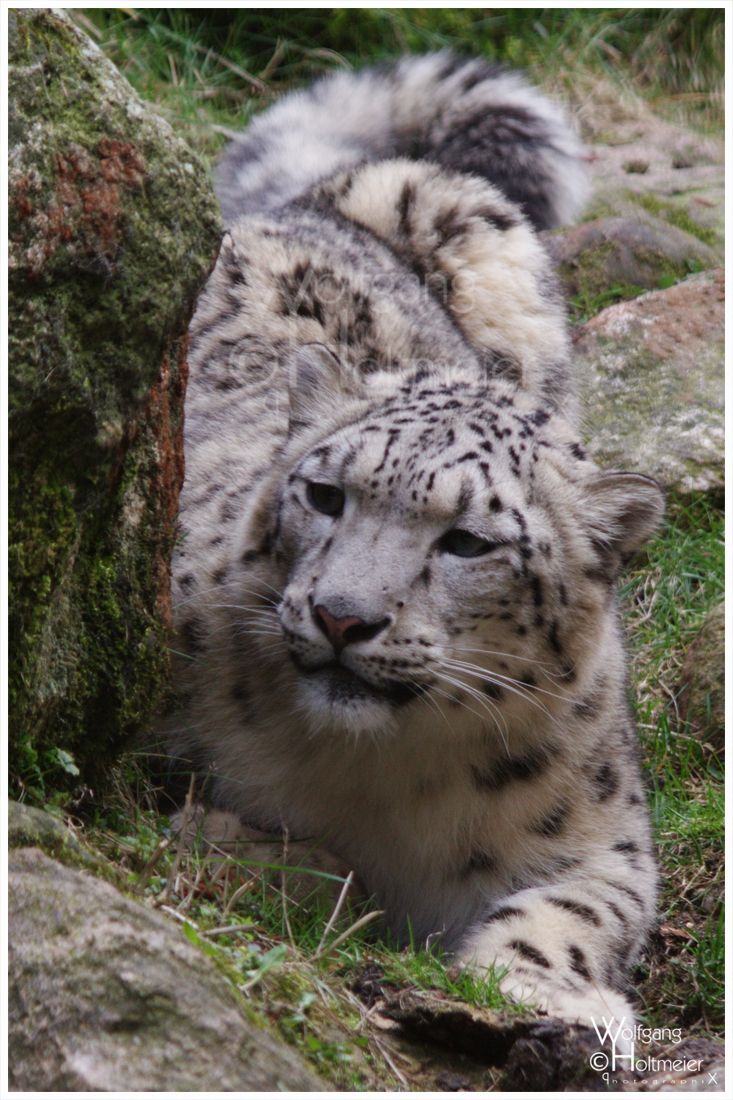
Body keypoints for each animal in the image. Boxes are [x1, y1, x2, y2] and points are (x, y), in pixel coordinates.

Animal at [163, 51, 660, 1029]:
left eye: (467, 543)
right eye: (324, 495)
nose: (341, 617)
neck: (381, 774)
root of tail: (304, 203)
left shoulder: (608, 836)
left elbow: (578, 906)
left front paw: (543, 990)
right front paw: (281, 858)